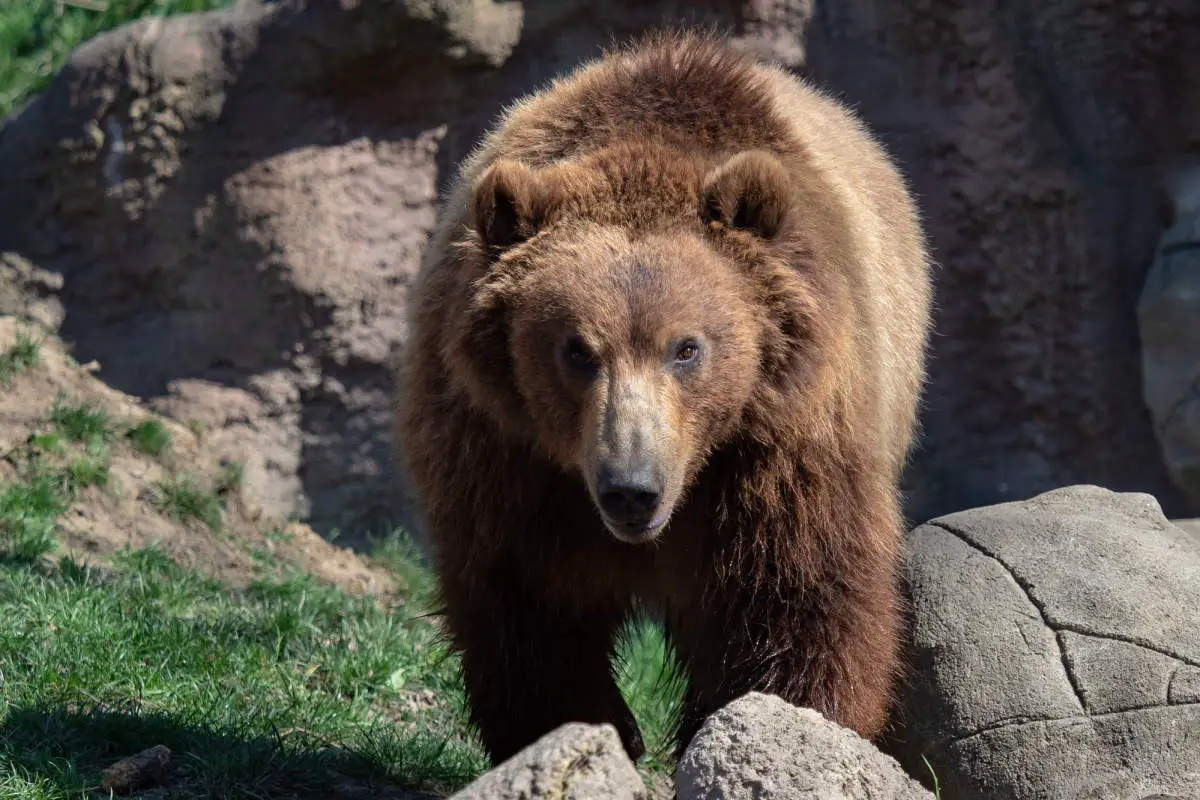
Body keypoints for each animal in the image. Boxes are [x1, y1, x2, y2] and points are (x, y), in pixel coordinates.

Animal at [398, 31, 931, 767]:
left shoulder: (783, 448)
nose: (632, 490)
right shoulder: (506, 450)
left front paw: (777, 726)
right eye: (576, 350)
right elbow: (525, 604)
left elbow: (794, 597)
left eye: (687, 348)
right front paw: (583, 730)